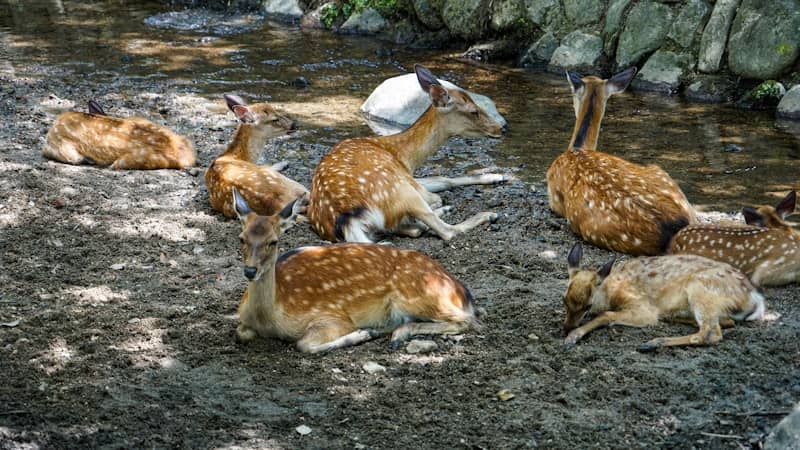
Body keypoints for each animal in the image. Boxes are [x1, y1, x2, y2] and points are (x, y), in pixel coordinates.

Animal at [233, 188, 479, 353]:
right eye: (242, 238)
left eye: (273, 241)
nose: (250, 271)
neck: (271, 319)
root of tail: (460, 291)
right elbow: (240, 333)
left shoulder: (332, 316)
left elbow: (303, 344)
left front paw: (363, 333)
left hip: (418, 295)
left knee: (468, 320)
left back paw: (394, 333)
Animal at [307, 64, 511, 243]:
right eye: (474, 111)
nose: (501, 129)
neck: (404, 157)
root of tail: (347, 221)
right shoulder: (407, 178)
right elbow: (440, 190)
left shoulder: (408, 175)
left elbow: (444, 179)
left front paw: (498, 176)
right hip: (402, 191)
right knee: (446, 230)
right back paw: (485, 214)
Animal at [562, 243, 766, 351]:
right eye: (564, 300)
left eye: (588, 305)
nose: (567, 327)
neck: (611, 290)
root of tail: (755, 298)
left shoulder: (642, 306)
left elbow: (607, 315)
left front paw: (573, 337)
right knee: (725, 322)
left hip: (701, 289)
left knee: (710, 333)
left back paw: (653, 343)